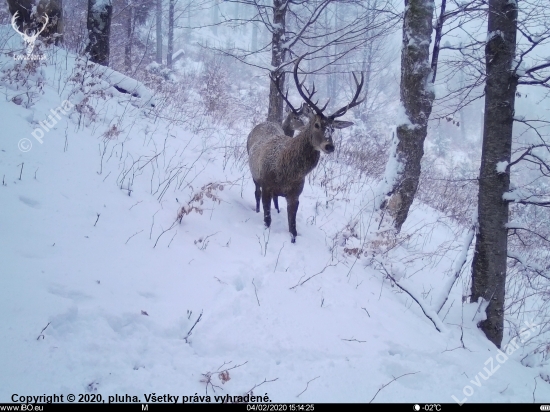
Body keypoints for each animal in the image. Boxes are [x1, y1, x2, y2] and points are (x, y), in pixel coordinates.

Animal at [248, 54, 364, 241]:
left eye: (333, 129)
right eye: (316, 124)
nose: (329, 146)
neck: (286, 172)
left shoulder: (295, 194)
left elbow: (293, 229)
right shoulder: (266, 184)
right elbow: (267, 220)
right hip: (254, 174)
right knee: (256, 194)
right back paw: (256, 209)